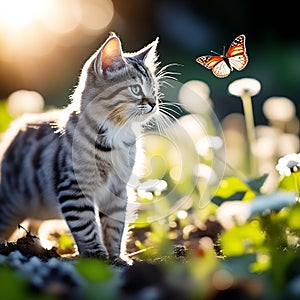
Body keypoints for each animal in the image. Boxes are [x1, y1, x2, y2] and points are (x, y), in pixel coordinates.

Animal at [0, 32, 166, 262]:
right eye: (135, 89)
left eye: (155, 91)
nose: (154, 103)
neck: (116, 134)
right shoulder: (74, 188)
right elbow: (86, 225)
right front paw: (96, 256)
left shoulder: (117, 189)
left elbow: (115, 227)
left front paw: (116, 257)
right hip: (11, 202)